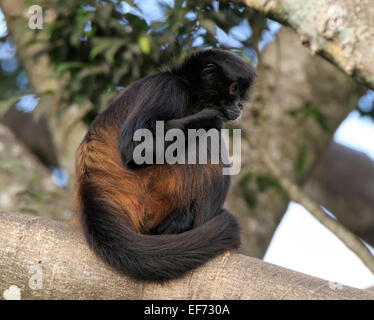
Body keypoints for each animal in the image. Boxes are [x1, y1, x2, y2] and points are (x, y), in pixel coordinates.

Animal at [74, 48, 256, 282]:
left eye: (241, 93)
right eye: (234, 89)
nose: (240, 105)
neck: (187, 88)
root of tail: (91, 187)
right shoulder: (168, 88)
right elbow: (134, 147)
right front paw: (212, 116)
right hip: (155, 191)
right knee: (208, 136)